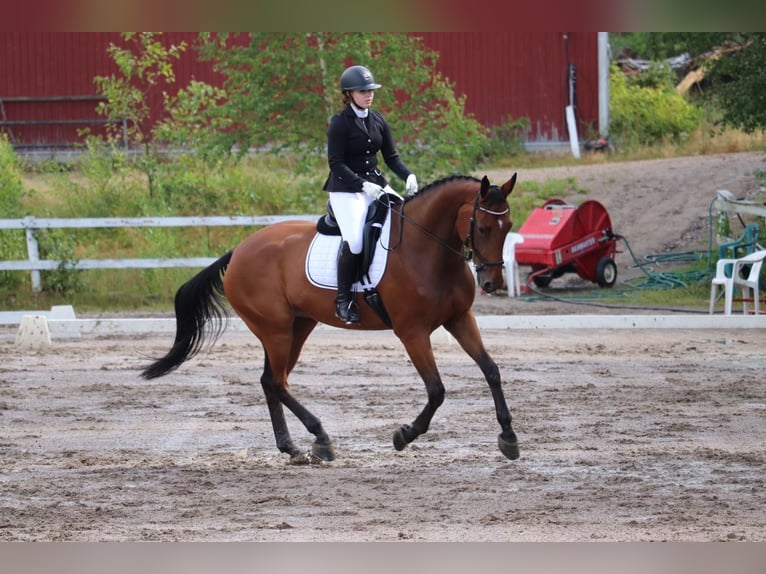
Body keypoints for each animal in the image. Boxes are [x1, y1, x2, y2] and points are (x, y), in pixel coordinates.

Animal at [141, 174, 520, 464]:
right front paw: (404, 435)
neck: (427, 249)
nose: (492, 283)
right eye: (483, 227)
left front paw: (509, 437)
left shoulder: (459, 318)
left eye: (509, 226)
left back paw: (292, 447)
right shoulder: (411, 332)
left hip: (297, 326)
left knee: (271, 381)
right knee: (276, 382)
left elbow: (491, 370)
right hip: (276, 330)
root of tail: (239, 250)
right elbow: (437, 390)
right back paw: (320, 438)